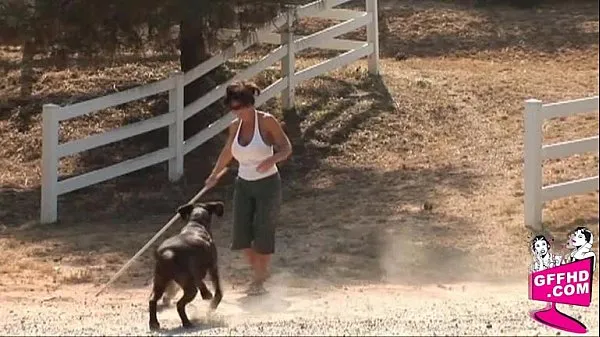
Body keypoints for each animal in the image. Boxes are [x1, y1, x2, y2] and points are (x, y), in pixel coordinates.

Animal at [148, 201, 225, 330]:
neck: (196, 224)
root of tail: (167, 253)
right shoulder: (213, 267)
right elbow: (218, 292)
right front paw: (211, 304)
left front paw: (206, 295)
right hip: (189, 287)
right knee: (180, 304)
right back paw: (187, 322)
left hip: (160, 282)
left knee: (152, 300)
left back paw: (153, 323)